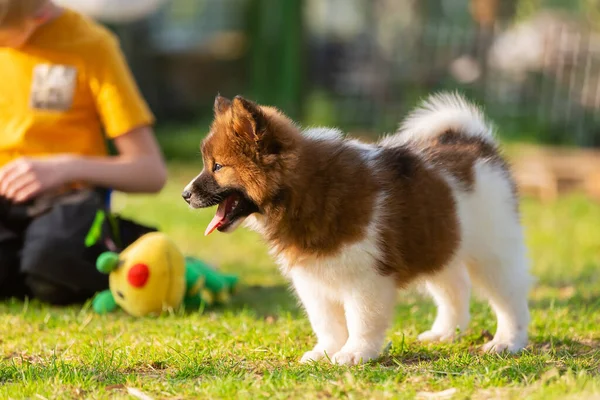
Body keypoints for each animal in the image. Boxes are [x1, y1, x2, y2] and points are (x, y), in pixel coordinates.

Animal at [182, 93, 528, 366]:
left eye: (217, 167)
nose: (184, 194)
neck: (304, 192)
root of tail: (477, 145)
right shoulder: (313, 281)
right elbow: (327, 323)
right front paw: (325, 352)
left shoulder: (366, 280)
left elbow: (361, 321)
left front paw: (354, 354)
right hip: (439, 243)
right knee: (455, 288)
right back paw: (444, 333)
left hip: (492, 252)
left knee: (510, 298)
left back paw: (507, 342)